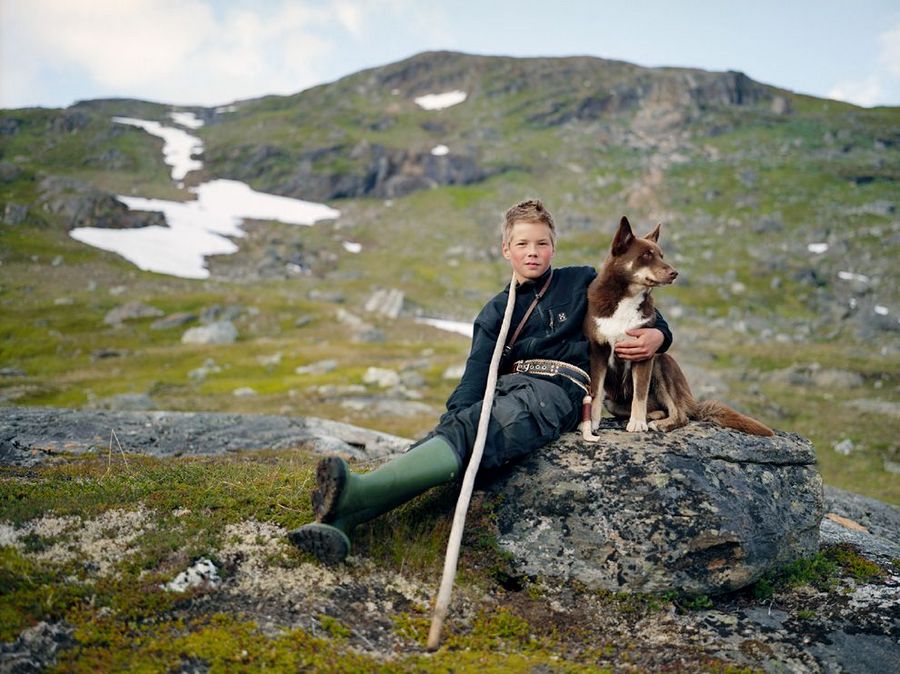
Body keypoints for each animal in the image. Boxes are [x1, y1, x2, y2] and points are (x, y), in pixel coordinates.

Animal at [584, 214, 772, 436]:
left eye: (661, 255)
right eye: (646, 255)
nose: (675, 273)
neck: (627, 298)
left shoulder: (644, 352)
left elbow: (640, 393)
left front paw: (637, 423)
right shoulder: (598, 352)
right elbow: (596, 392)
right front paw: (592, 423)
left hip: (661, 362)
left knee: (680, 414)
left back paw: (660, 423)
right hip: (613, 401)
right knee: (659, 409)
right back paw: (654, 416)